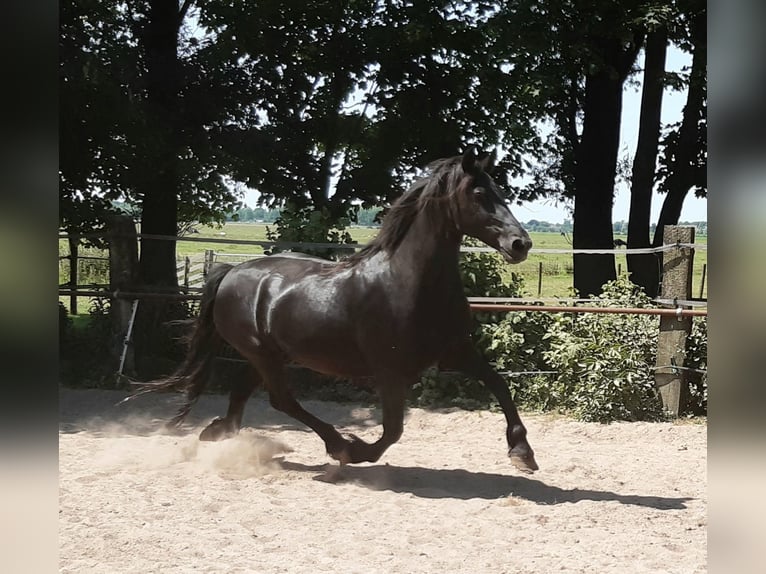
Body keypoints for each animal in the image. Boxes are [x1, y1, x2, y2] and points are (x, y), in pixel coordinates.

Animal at [144, 151, 540, 474]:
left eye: (500, 190)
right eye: (479, 194)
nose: (520, 244)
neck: (408, 282)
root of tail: (231, 271)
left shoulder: (456, 351)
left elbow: (499, 384)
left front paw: (522, 453)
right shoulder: (390, 370)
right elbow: (392, 430)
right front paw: (356, 450)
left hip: (269, 354)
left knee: (245, 394)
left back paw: (216, 432)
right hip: (261, 353)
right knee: (281, 399)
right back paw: (336, 444)